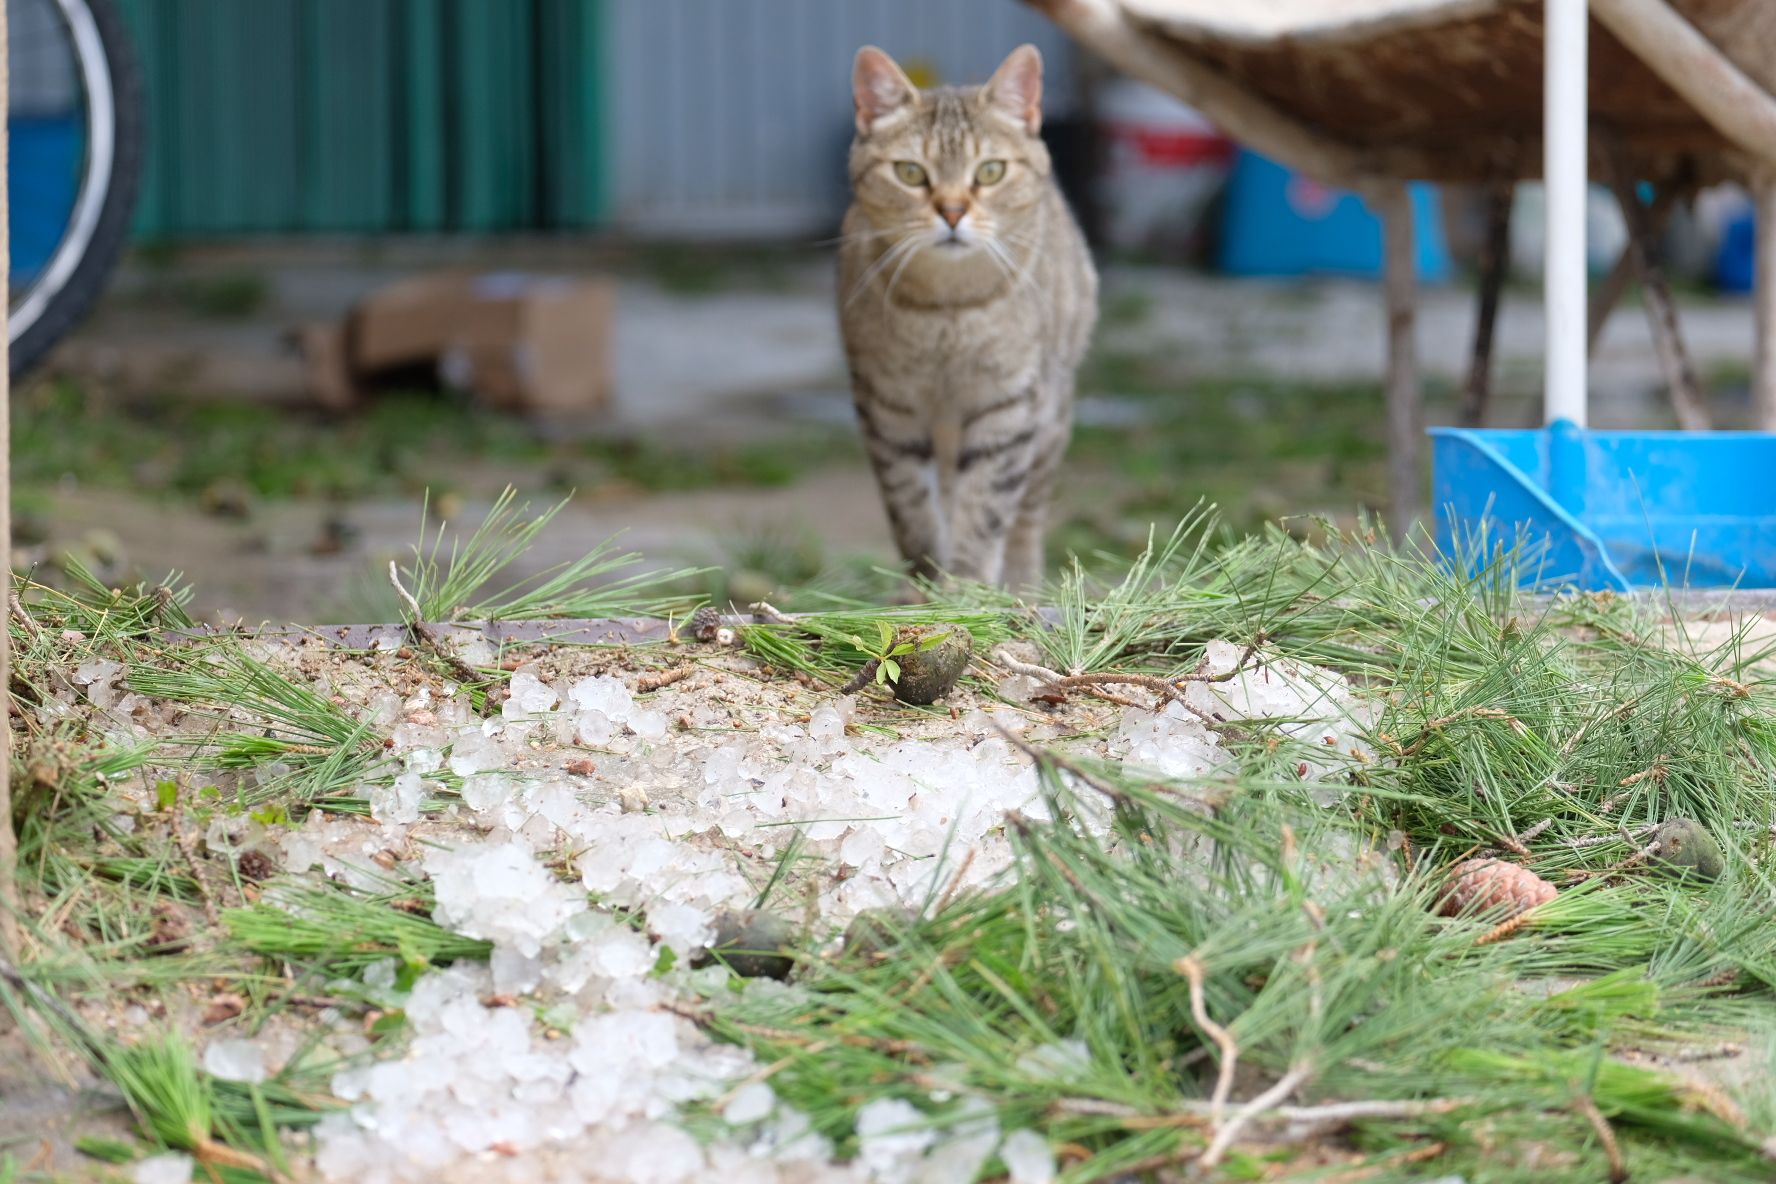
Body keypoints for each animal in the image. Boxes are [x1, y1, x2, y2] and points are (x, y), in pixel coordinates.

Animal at [834, 43, 1094, 589]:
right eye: (910, 172)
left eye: (990, 171)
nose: (952, 212)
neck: (947, 309)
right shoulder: (887, 404)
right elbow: (910, 505)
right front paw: (926, 584)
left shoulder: (1008, 405)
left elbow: (987, 508)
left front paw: (968, 589)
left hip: (1051, 416)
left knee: (1027, 513)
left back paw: (1021, 584)